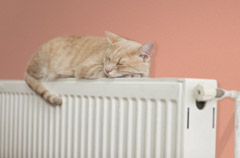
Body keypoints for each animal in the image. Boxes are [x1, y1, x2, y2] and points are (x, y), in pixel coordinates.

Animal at [24, 31, 156, 105]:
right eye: (108, 58)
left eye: (120, 64)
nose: (108, 69)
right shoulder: (87, 67)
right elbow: (104, 74)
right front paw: (132, 74)